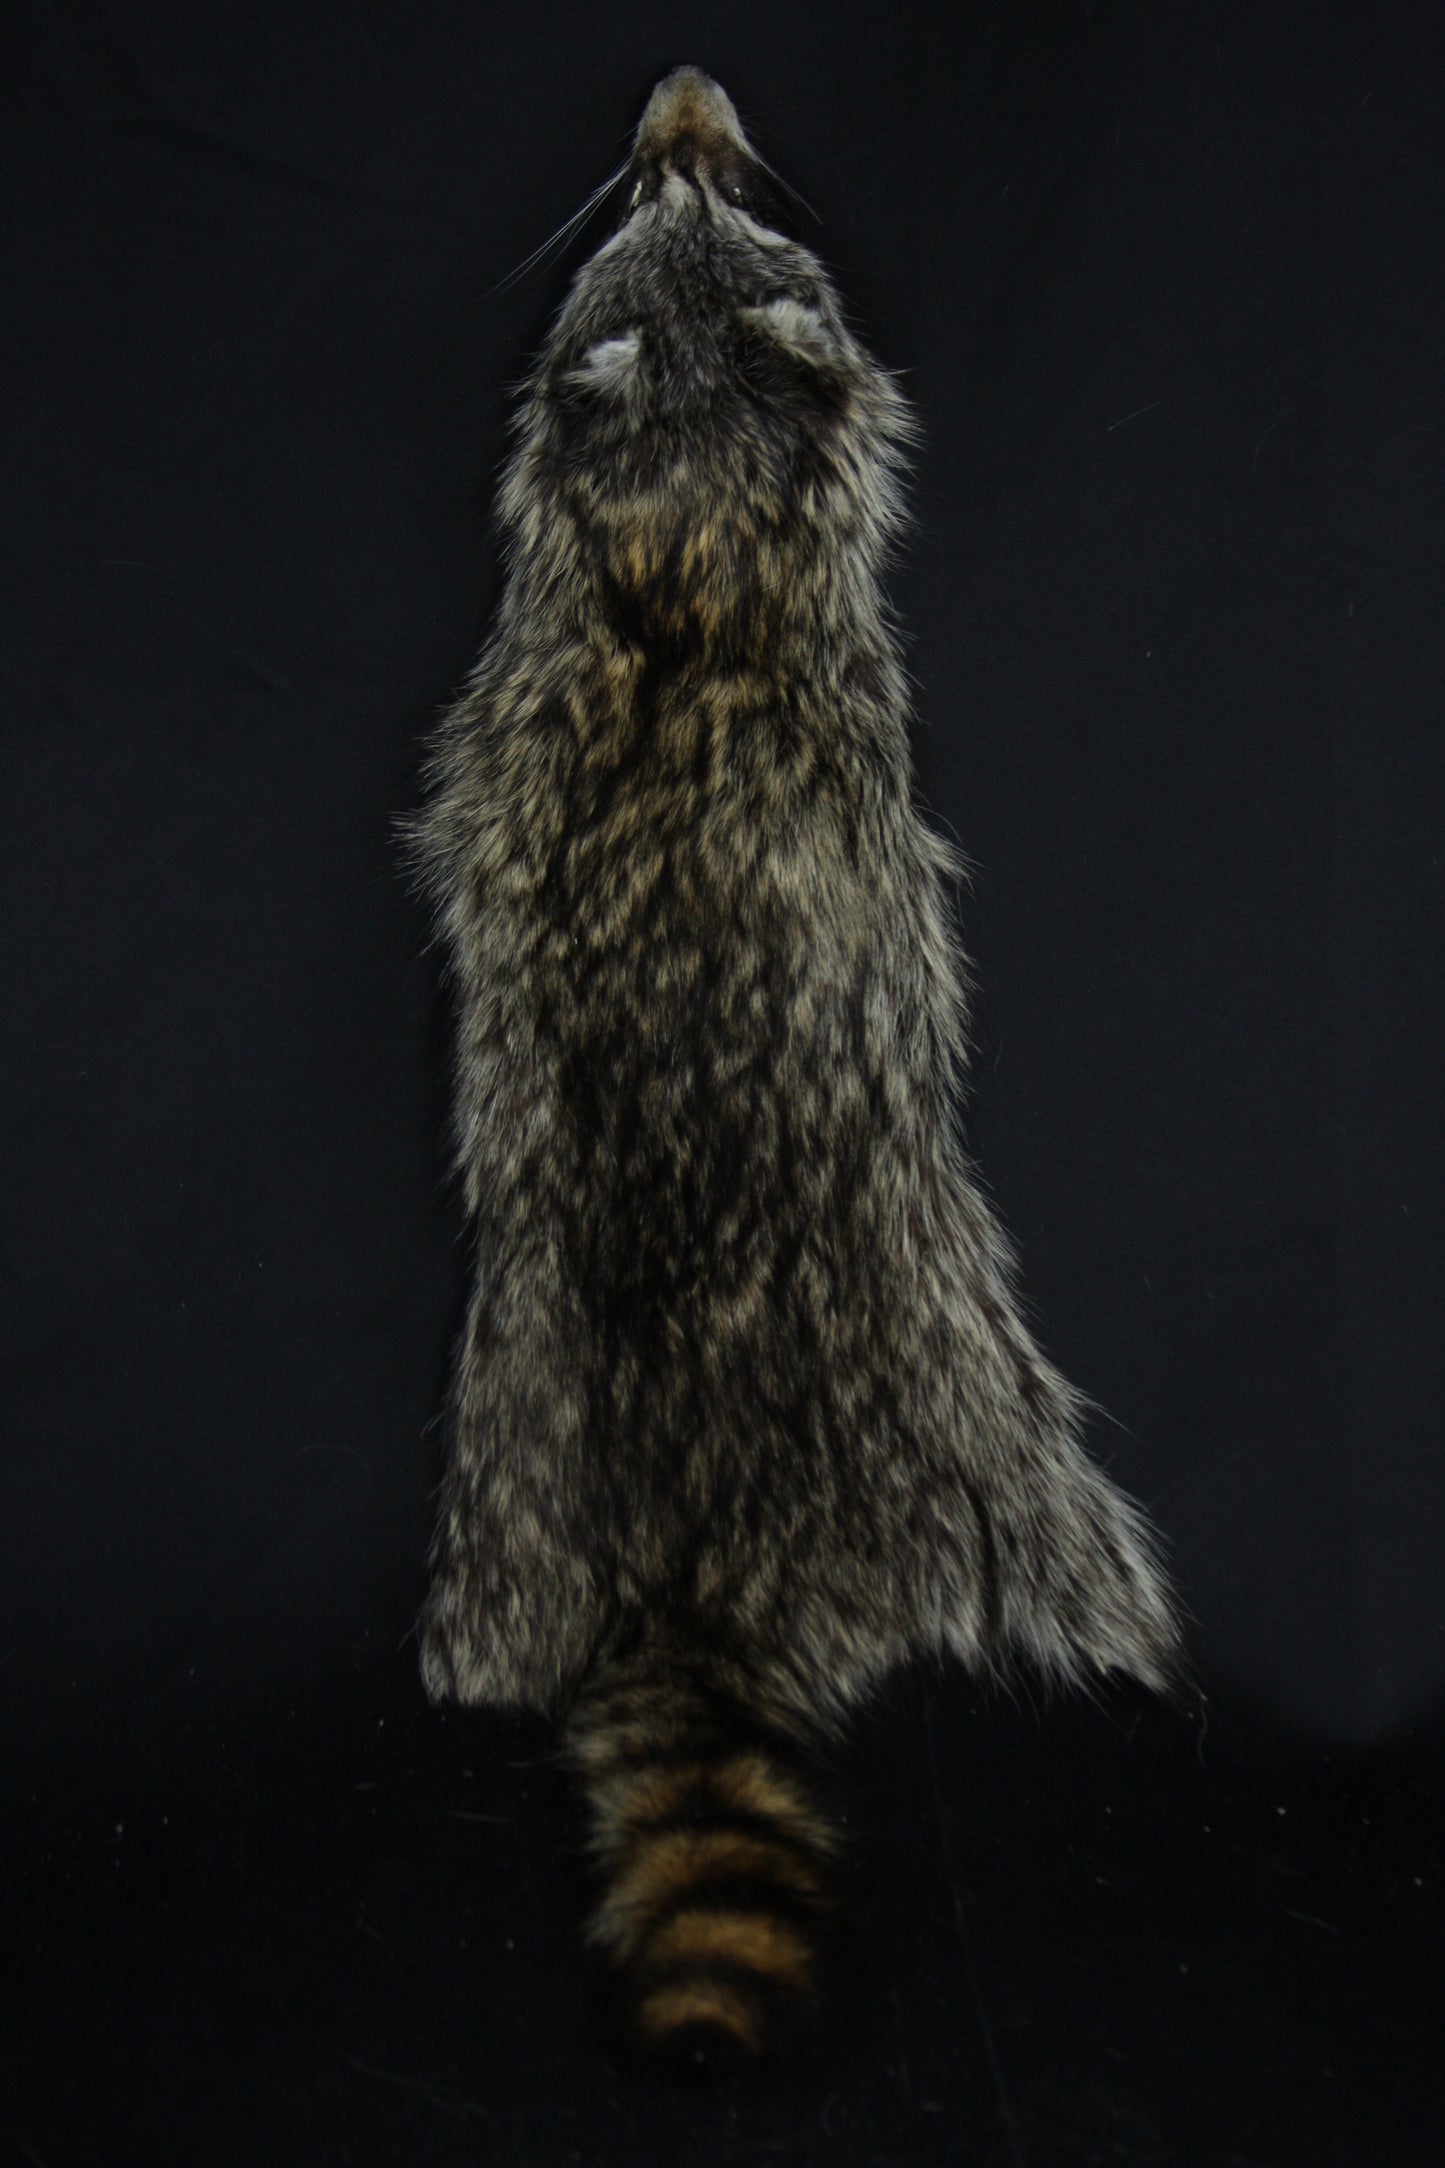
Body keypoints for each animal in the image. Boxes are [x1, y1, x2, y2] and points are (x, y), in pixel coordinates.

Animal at [412, 66, 1185, 2059]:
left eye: (714, 204)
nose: (681, 94)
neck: (678, 532)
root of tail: (696, 1557)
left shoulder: (506, 724)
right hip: (987, 1422)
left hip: (504, 1472)